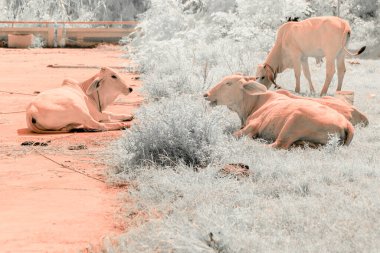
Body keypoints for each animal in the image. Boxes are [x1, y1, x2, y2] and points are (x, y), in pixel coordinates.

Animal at [203, 75, 354, 150]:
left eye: (228, 83)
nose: (206, 94)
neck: (257, 100)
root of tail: (346, 123)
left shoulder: (254, 125)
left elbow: (235, 134)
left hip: (292, 122)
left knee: (277, 145)